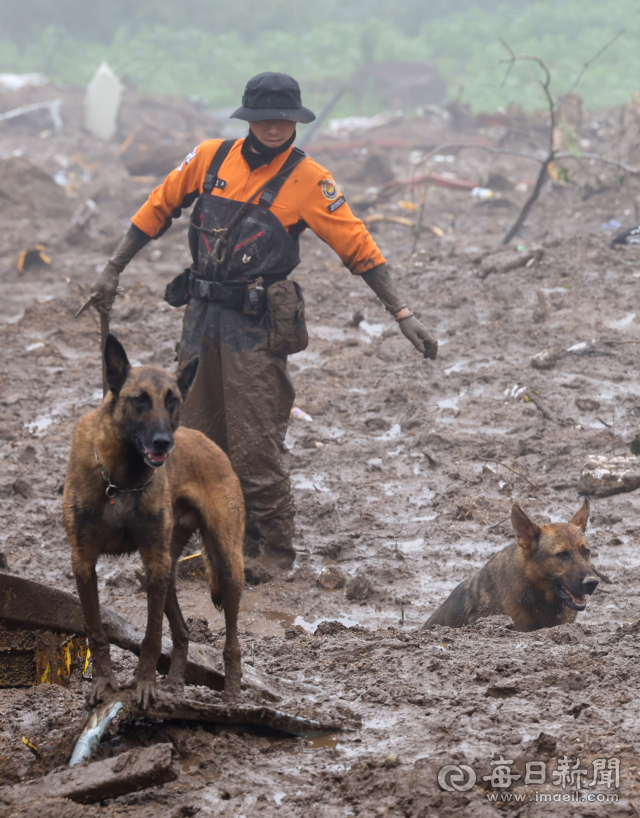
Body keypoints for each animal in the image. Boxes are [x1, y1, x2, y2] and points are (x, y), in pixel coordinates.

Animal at [63, 334, 245, 704]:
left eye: (172, 400)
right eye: (139, 400)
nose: (163, 442)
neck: (121, 479)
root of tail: (212, 445)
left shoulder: (154, 560)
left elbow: (151, 635)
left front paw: (145, 685)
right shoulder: (84, 561)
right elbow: (95, 630)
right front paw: (104, 683)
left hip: (224, 560)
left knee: (232, 641)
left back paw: (232, 696)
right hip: (168, 571)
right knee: (183, 630)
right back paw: (174, 683)